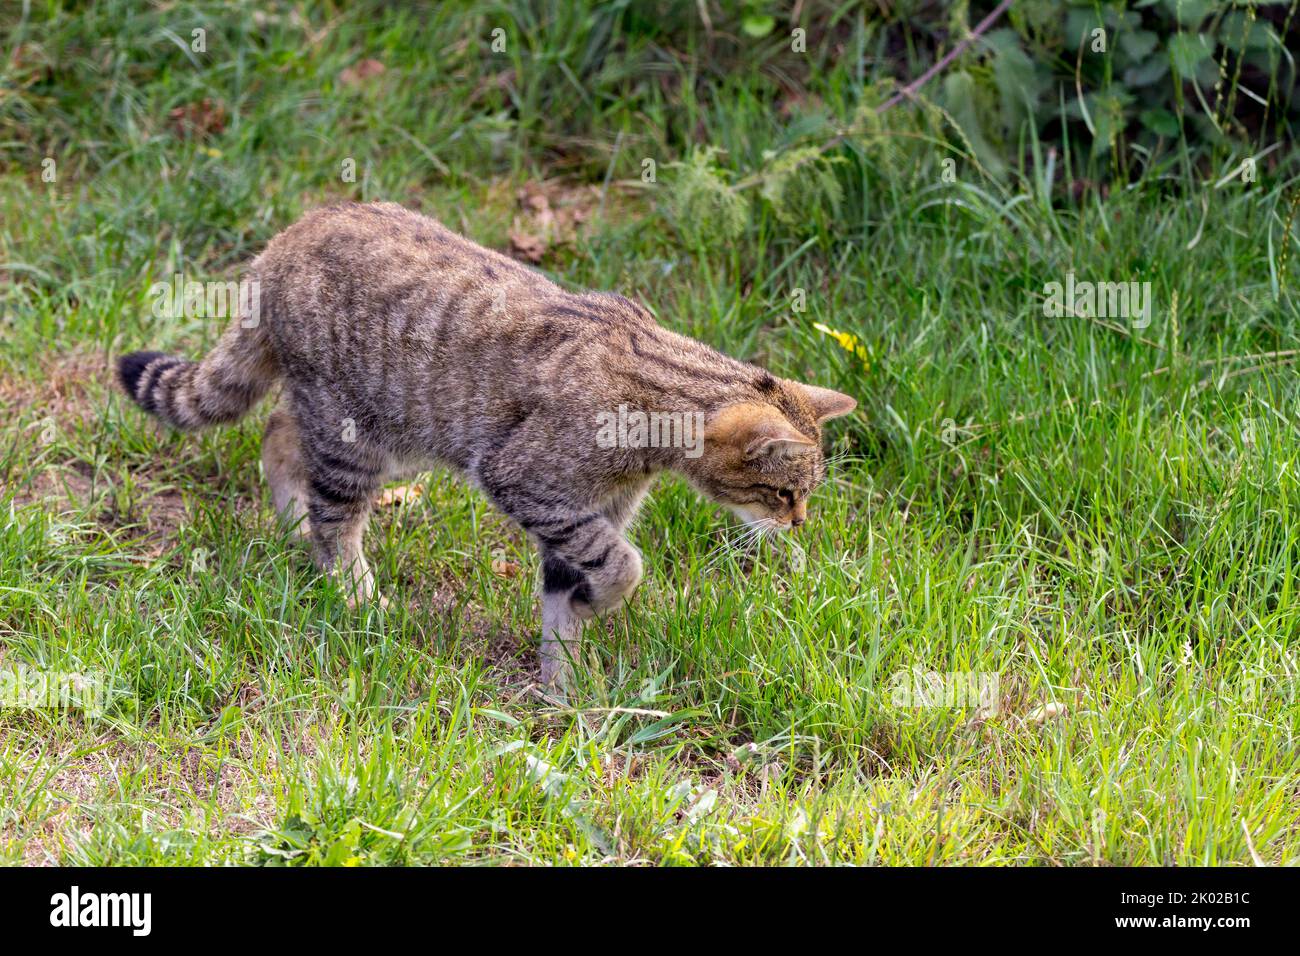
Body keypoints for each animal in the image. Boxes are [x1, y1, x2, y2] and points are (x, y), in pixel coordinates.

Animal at [116, 201, 852, 686]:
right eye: (783, 492)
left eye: (802, 495)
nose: (800, 522)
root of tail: (283, 239)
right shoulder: (530, 484)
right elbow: (624, 566)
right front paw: (590, 628)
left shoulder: (584, 514)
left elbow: (564, 602)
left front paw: (566, 692)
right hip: (357, 437)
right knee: (334, 519)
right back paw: (355, 594)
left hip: (362, 424)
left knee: (276, 434)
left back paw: (293, 529)